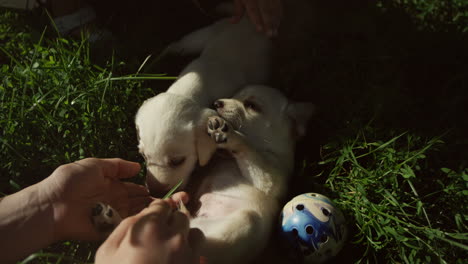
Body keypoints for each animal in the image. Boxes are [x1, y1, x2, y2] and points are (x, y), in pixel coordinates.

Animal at [186, 85, 314, 262]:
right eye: (233, 95)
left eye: (252, 106)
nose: (216, 103)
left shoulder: (270, 178)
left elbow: (248, 147)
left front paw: (230, 135)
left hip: (246, 221)